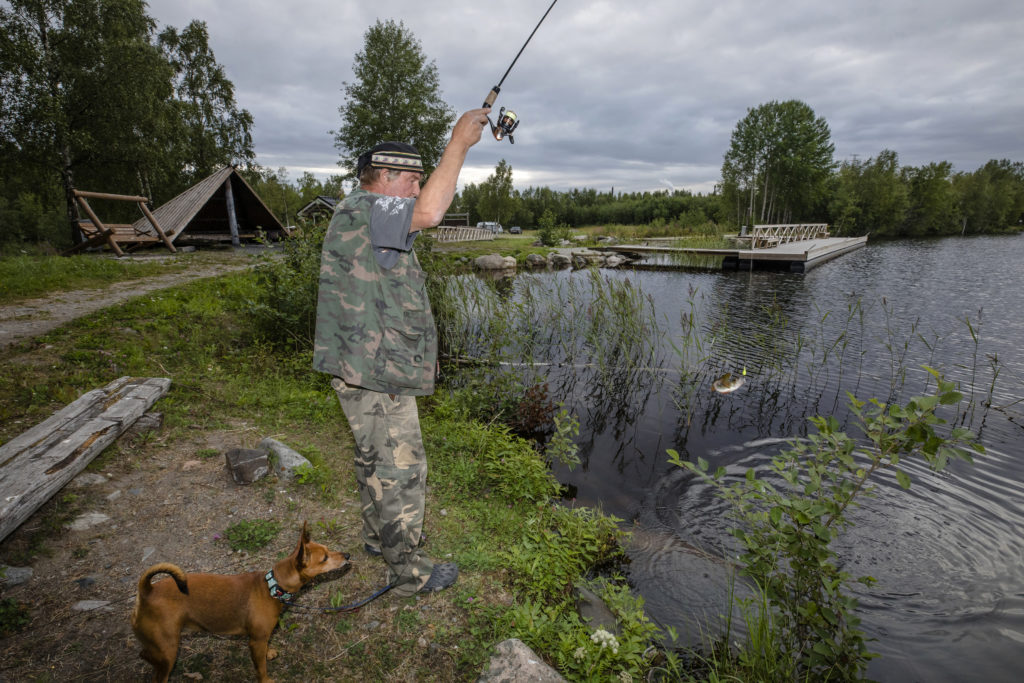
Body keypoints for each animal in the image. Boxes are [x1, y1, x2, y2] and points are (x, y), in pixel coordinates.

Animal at [130, 520, 348, 679]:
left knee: (144, 653)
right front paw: (266, 679)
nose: (347, 554)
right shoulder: (256, 641)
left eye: (329, 549)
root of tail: (147, 591)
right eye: (324, 558)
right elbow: (261, 669)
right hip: (169, 650)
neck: (272, 587)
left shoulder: (262, 639)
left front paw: (269, 652)